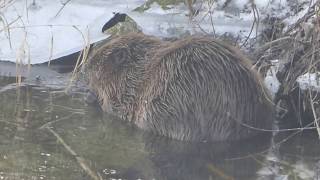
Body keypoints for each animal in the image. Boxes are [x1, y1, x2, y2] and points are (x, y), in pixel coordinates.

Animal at [84, 32, 272, 142]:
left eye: (98, 58)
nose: (86, 64)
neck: (139, 69)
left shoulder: (129, 92)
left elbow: (116, 108)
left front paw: (91, 98)